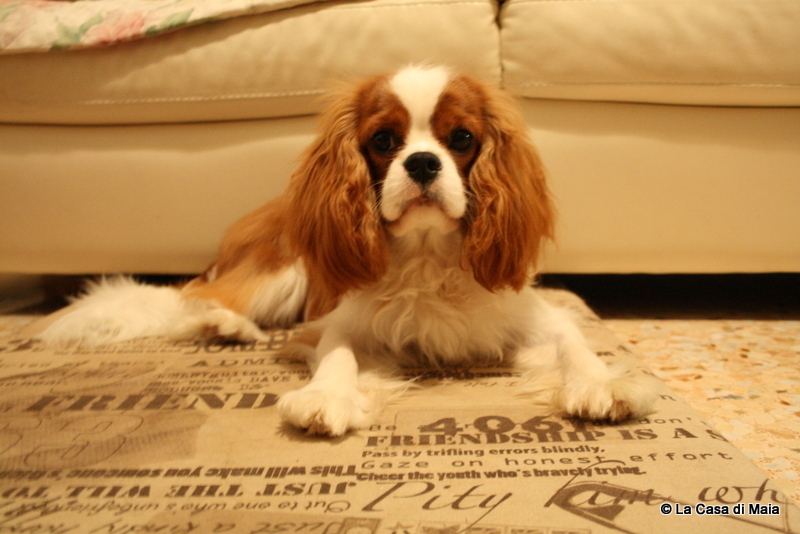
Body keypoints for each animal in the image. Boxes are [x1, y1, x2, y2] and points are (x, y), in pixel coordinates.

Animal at [39, 65, 656, 436]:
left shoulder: (533, 317)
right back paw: (227, 326)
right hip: (283, 269)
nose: (422, 163)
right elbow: (337, 354)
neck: (428, 256)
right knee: (197, 297)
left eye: (461, 139)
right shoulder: (333, 322)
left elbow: (576, 343)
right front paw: (325, 398)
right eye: (384, 141)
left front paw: (601, 385)